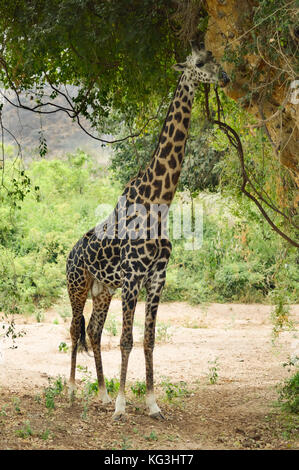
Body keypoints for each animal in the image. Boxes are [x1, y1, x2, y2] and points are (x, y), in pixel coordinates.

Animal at [66, 42, 230, 420]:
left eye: (216, 58)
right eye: (200, 62)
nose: (225, 78)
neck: (160, 200)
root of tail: (68, 255)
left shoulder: (157, 278)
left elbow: (149, 340)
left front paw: (152, 404)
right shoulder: (132, 277)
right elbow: (126, 340)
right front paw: (122, 407)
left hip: (102, 291)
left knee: (93, 330)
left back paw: (100, 393)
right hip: (77, 286)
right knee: (74, 328)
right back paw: (71, 392)